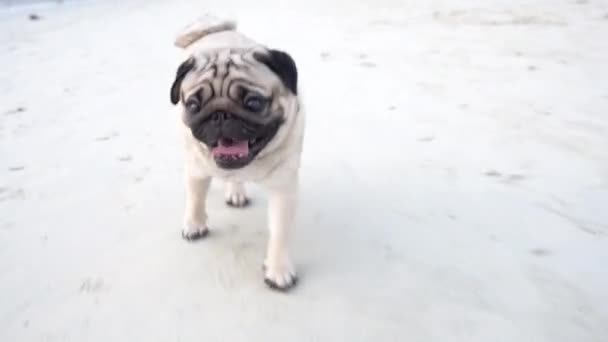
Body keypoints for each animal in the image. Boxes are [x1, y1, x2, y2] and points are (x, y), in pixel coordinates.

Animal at [170, 14, 304, 290]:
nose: (220, 115)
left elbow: (279, 232)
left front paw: (278, 269)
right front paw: (194, 224)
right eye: (193, 105)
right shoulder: (196, 169)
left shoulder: (283, 189)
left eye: (253, 103)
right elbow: (195, 198)